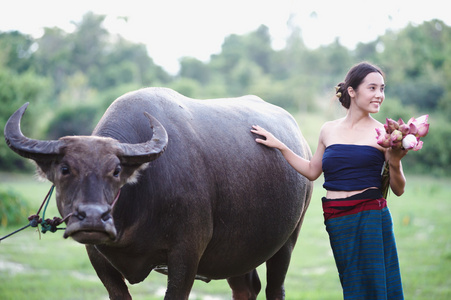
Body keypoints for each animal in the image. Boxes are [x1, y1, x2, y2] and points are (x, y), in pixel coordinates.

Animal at [4, 87, 314, 300]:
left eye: (116, 170)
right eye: (65, 169)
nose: (92, 218)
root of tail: (303, 145)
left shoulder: (186, 253)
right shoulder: (97, 256)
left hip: (288, 241)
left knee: (275, 288)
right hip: (237, 253)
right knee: (247, 289)